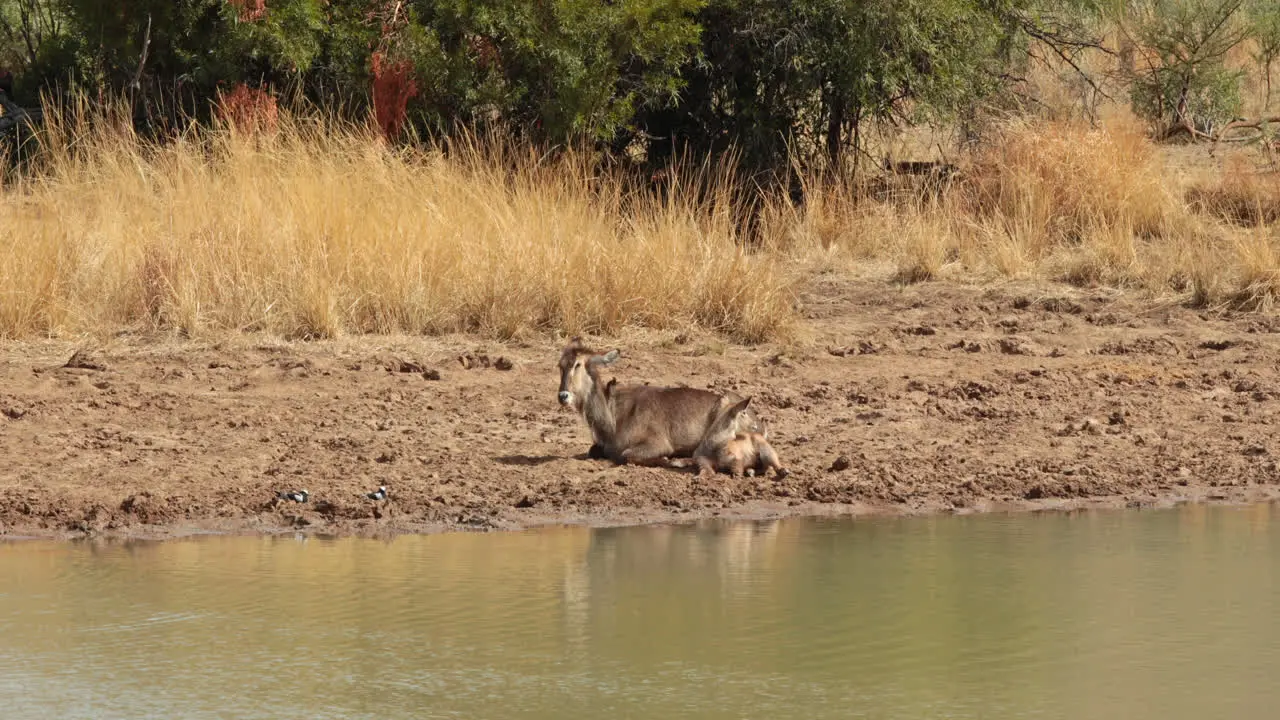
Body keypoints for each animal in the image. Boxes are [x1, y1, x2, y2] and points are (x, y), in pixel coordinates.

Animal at [555, 335, 752, 466]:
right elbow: (593, 450)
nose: (563, 396)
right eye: (560, 365)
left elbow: (627, 455)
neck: (614, 416)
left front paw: (667, 459)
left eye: (578, 364)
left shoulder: (657, 443)